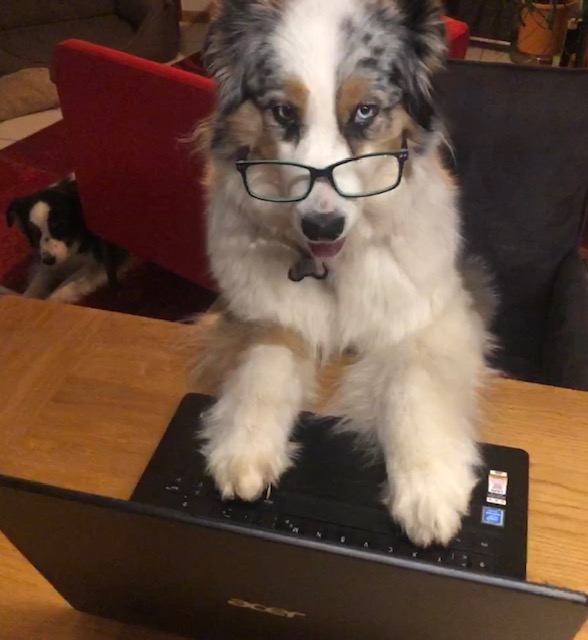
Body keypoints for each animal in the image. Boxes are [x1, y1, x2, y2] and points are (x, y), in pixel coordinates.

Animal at [192, 0, 494, 547]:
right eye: (283, 112)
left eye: (365, 111)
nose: (322, 224)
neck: (331, 267)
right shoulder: (256, 309)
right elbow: (264, 363)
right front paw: (245, 446)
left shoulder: (435, 310)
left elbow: (414, 381)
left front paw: (428, 487)